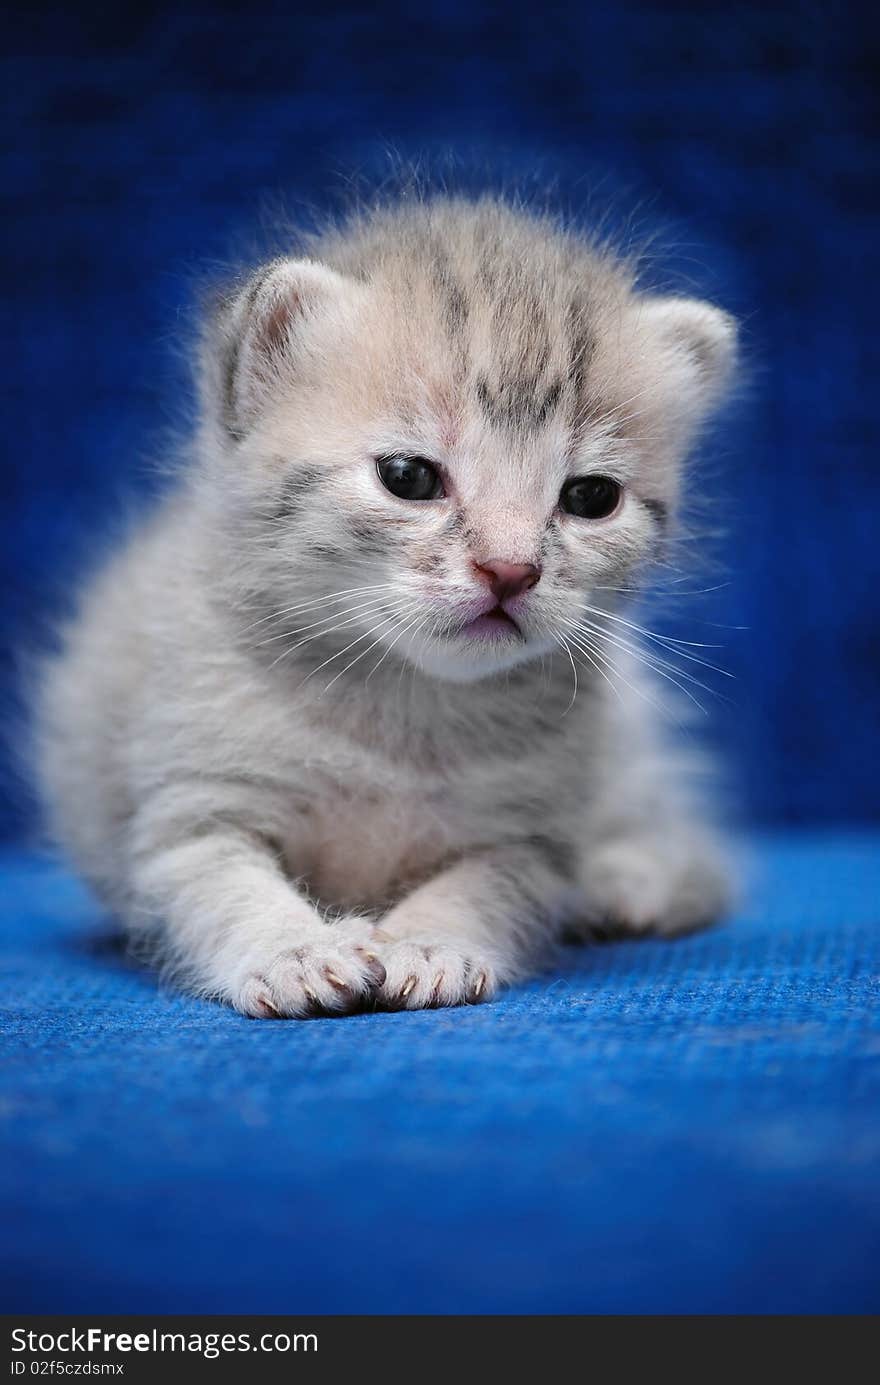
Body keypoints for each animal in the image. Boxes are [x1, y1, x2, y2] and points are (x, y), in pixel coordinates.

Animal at [32, 195, 737, 1019]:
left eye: (591, 496)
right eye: (409, 477)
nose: (510, 569)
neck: (402, 701)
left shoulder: (526, 840)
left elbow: (483, 889)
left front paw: (429, 942)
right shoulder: (188, 814)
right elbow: (225, 888)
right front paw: (295, 950)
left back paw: (628, 883)